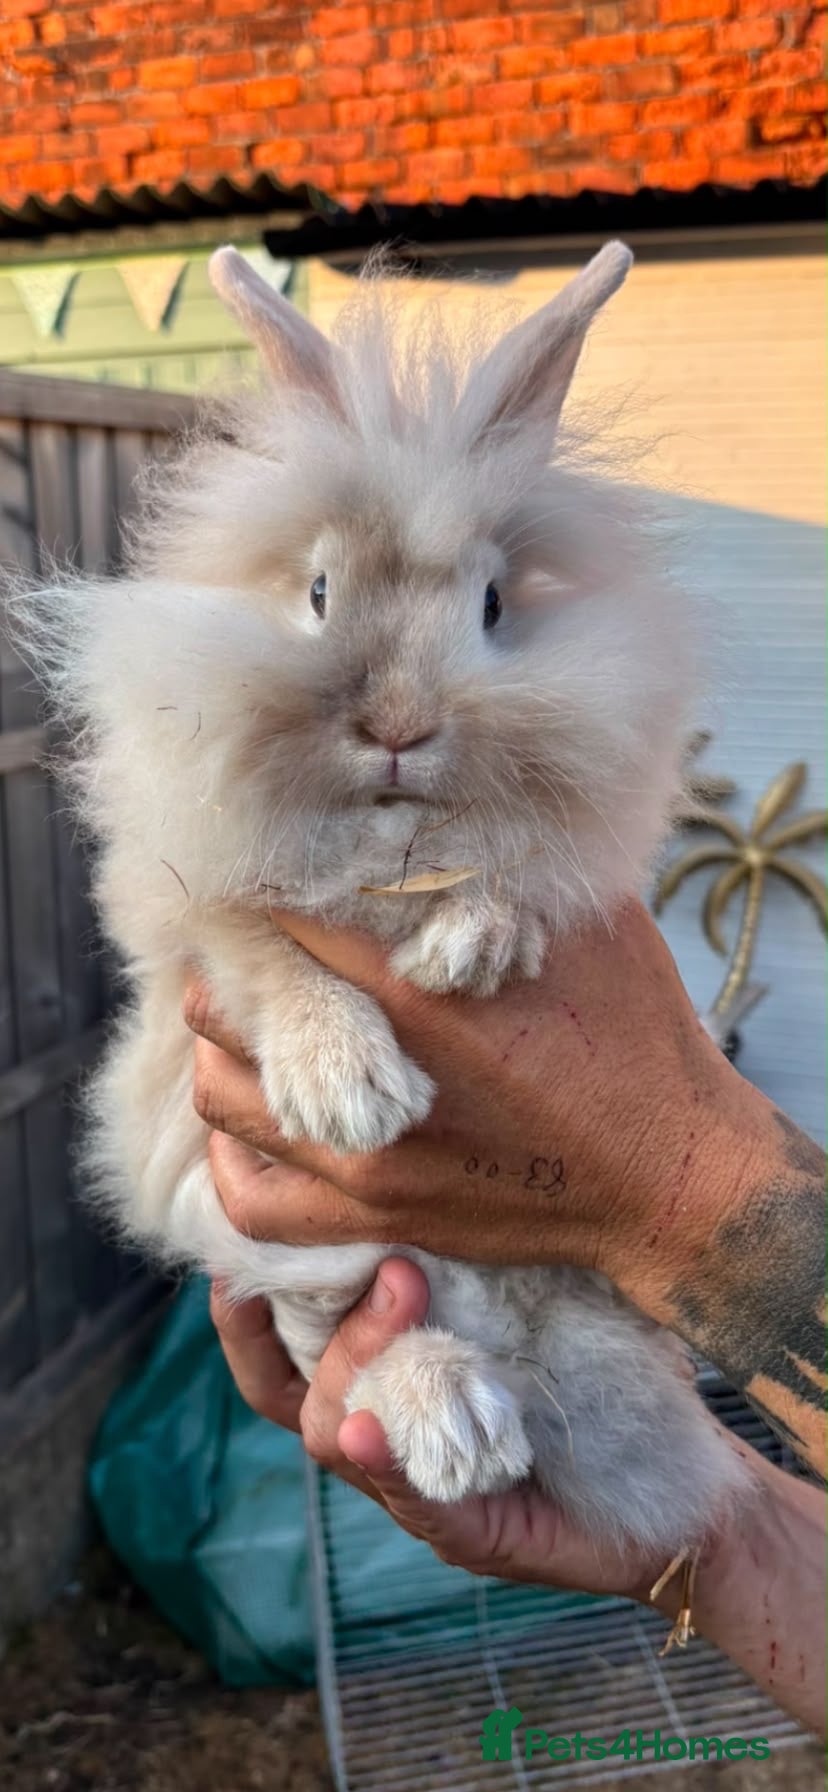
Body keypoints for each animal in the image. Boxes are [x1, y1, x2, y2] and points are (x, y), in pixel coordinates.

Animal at [11, 241, 749, 1559]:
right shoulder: (190, 912)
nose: (399, 727)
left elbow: (510, 883)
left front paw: (473, 948)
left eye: (494, 608)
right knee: (350, 1351)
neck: (390, 851)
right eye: (316, 591)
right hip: (302, 1246)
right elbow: (266, 952)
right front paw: (348, 1088)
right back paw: (456, 1422)